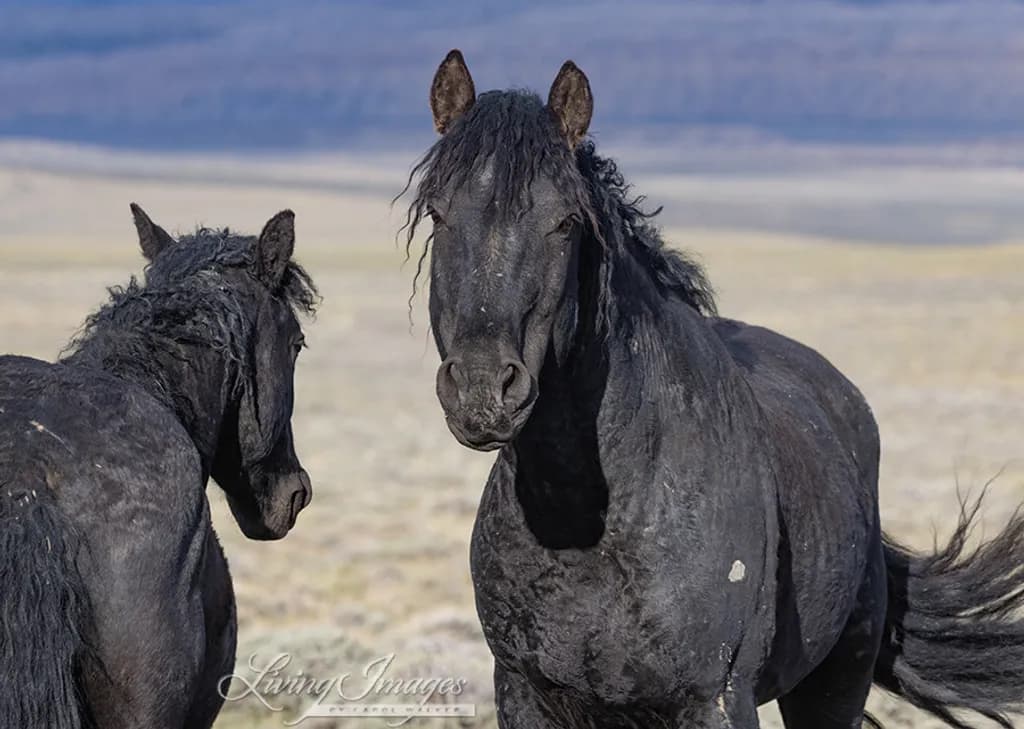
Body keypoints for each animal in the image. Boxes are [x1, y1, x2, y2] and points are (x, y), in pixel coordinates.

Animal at [403, 49, 1024, 729]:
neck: (592, 526)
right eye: (438, 213)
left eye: (564, 222)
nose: (483, 388)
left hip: (835, 683)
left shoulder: (715, 699)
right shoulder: (522, 692)